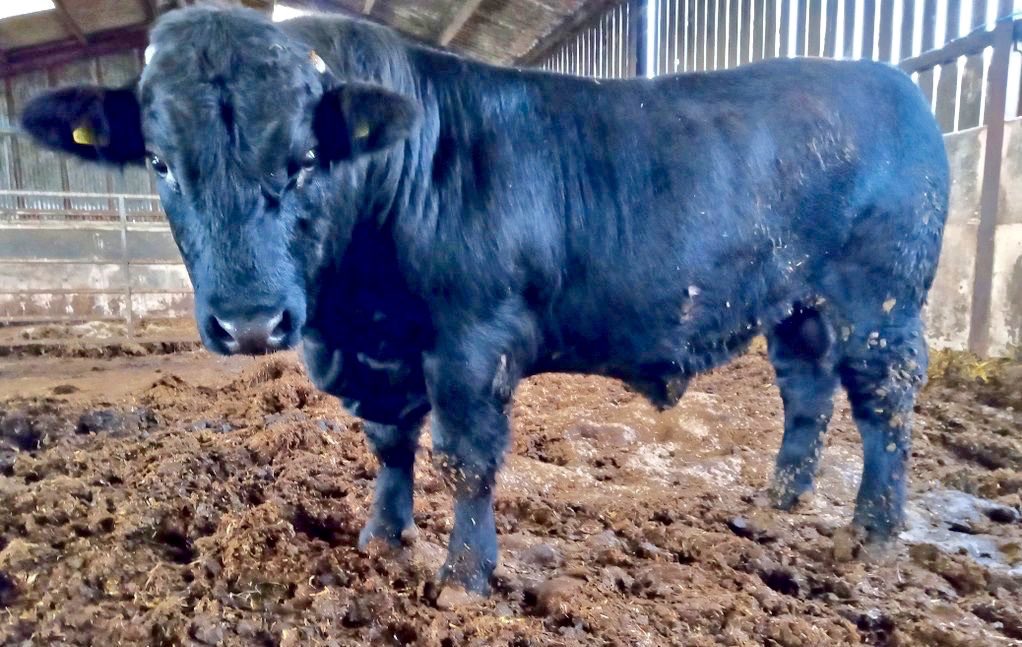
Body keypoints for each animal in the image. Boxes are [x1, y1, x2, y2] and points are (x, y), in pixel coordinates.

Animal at [21, 6, 948, 595]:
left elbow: (464, 457)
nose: (250, 320)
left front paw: (464, 576)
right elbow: (390, 443)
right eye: (161, 164)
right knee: (806, 392)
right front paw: (382, 536)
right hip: (797, 305)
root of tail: (897, 84)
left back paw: (873, 532)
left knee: (886, 404)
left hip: (882, 301)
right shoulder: (383, 353)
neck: (352, 311)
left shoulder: (474, 341)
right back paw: (779, 498)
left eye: (305, 159)